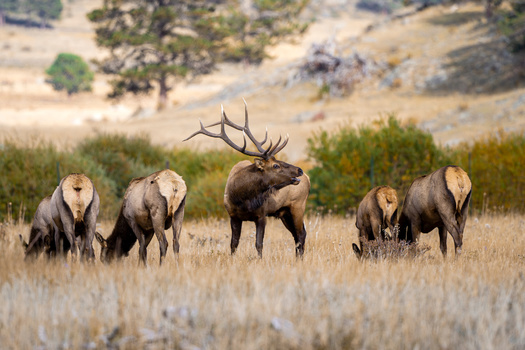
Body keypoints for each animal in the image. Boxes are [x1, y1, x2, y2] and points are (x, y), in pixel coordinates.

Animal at [183, 100, 310, 258]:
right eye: (276, 165)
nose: (299, 170)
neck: (242, 198)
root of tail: (308, 178)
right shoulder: (233, 216)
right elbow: (233, 244)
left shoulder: (261, 215)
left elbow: (259, 244)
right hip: (284, 212)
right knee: (296, 235)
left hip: (298, 205)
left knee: (301, 234)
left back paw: (300, 259)